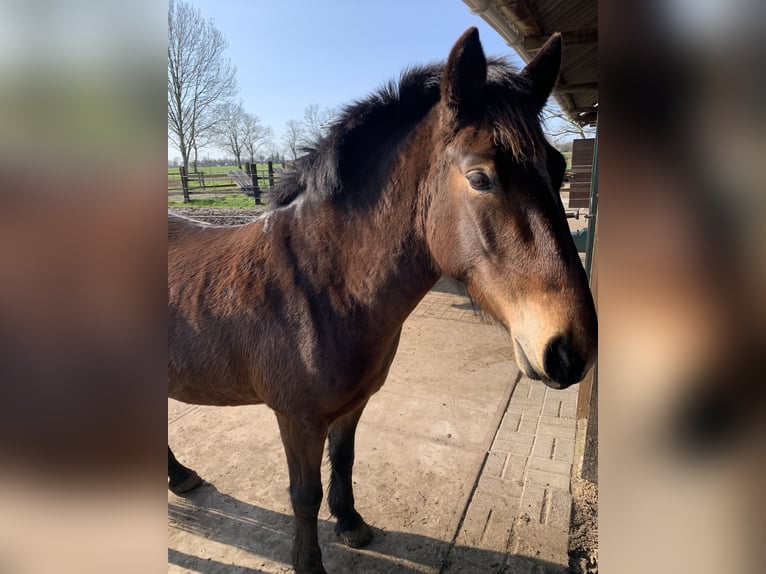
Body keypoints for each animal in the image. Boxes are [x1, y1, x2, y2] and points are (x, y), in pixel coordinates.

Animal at [168, 28, 597, 574]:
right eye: (480, 177)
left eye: (559, 167)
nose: (571, 349)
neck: (320, 287)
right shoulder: (297, 420)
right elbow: (303, 495)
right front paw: (309, 562)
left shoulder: (352, 405)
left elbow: (344, 460)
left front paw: (351, 522)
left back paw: (180, 476)